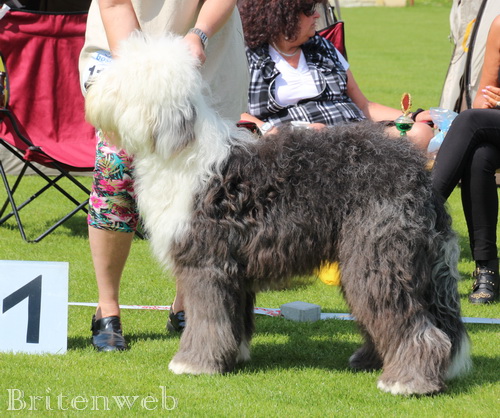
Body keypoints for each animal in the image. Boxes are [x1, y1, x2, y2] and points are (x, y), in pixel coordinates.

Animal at [85, 33, 471, 395]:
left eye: (123, 80)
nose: (90, 89)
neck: (181, 149)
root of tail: (418, 174)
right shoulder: (233, 269)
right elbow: (234, 319)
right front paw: (234, 355)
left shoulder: (205, 263)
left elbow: (207, 319)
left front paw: (193, 363)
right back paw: (370, 360)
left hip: (377, 256)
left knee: (415, 324)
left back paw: (406, 382)